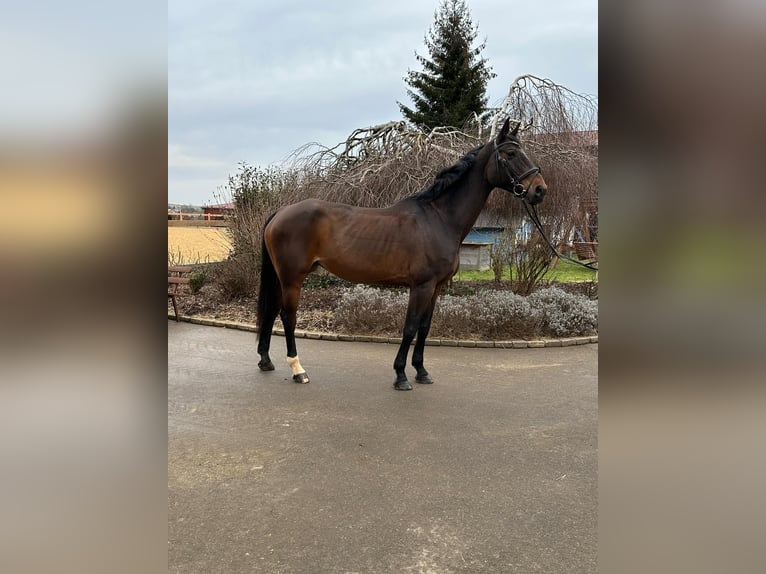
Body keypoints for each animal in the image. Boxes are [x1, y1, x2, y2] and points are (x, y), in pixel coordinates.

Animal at [260, 121, 548, 392]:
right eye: (510, 153)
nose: (540, 190)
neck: (439, 219)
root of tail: (281, 212)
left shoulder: (436, 287)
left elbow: (424, 327)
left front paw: (421, 371)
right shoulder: (421, 286)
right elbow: (410, 327)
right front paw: (401, 376)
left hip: (282, 278)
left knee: (272, 311)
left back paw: (266, 361)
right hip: (292, 279)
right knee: (287, 317)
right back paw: (298, 370)